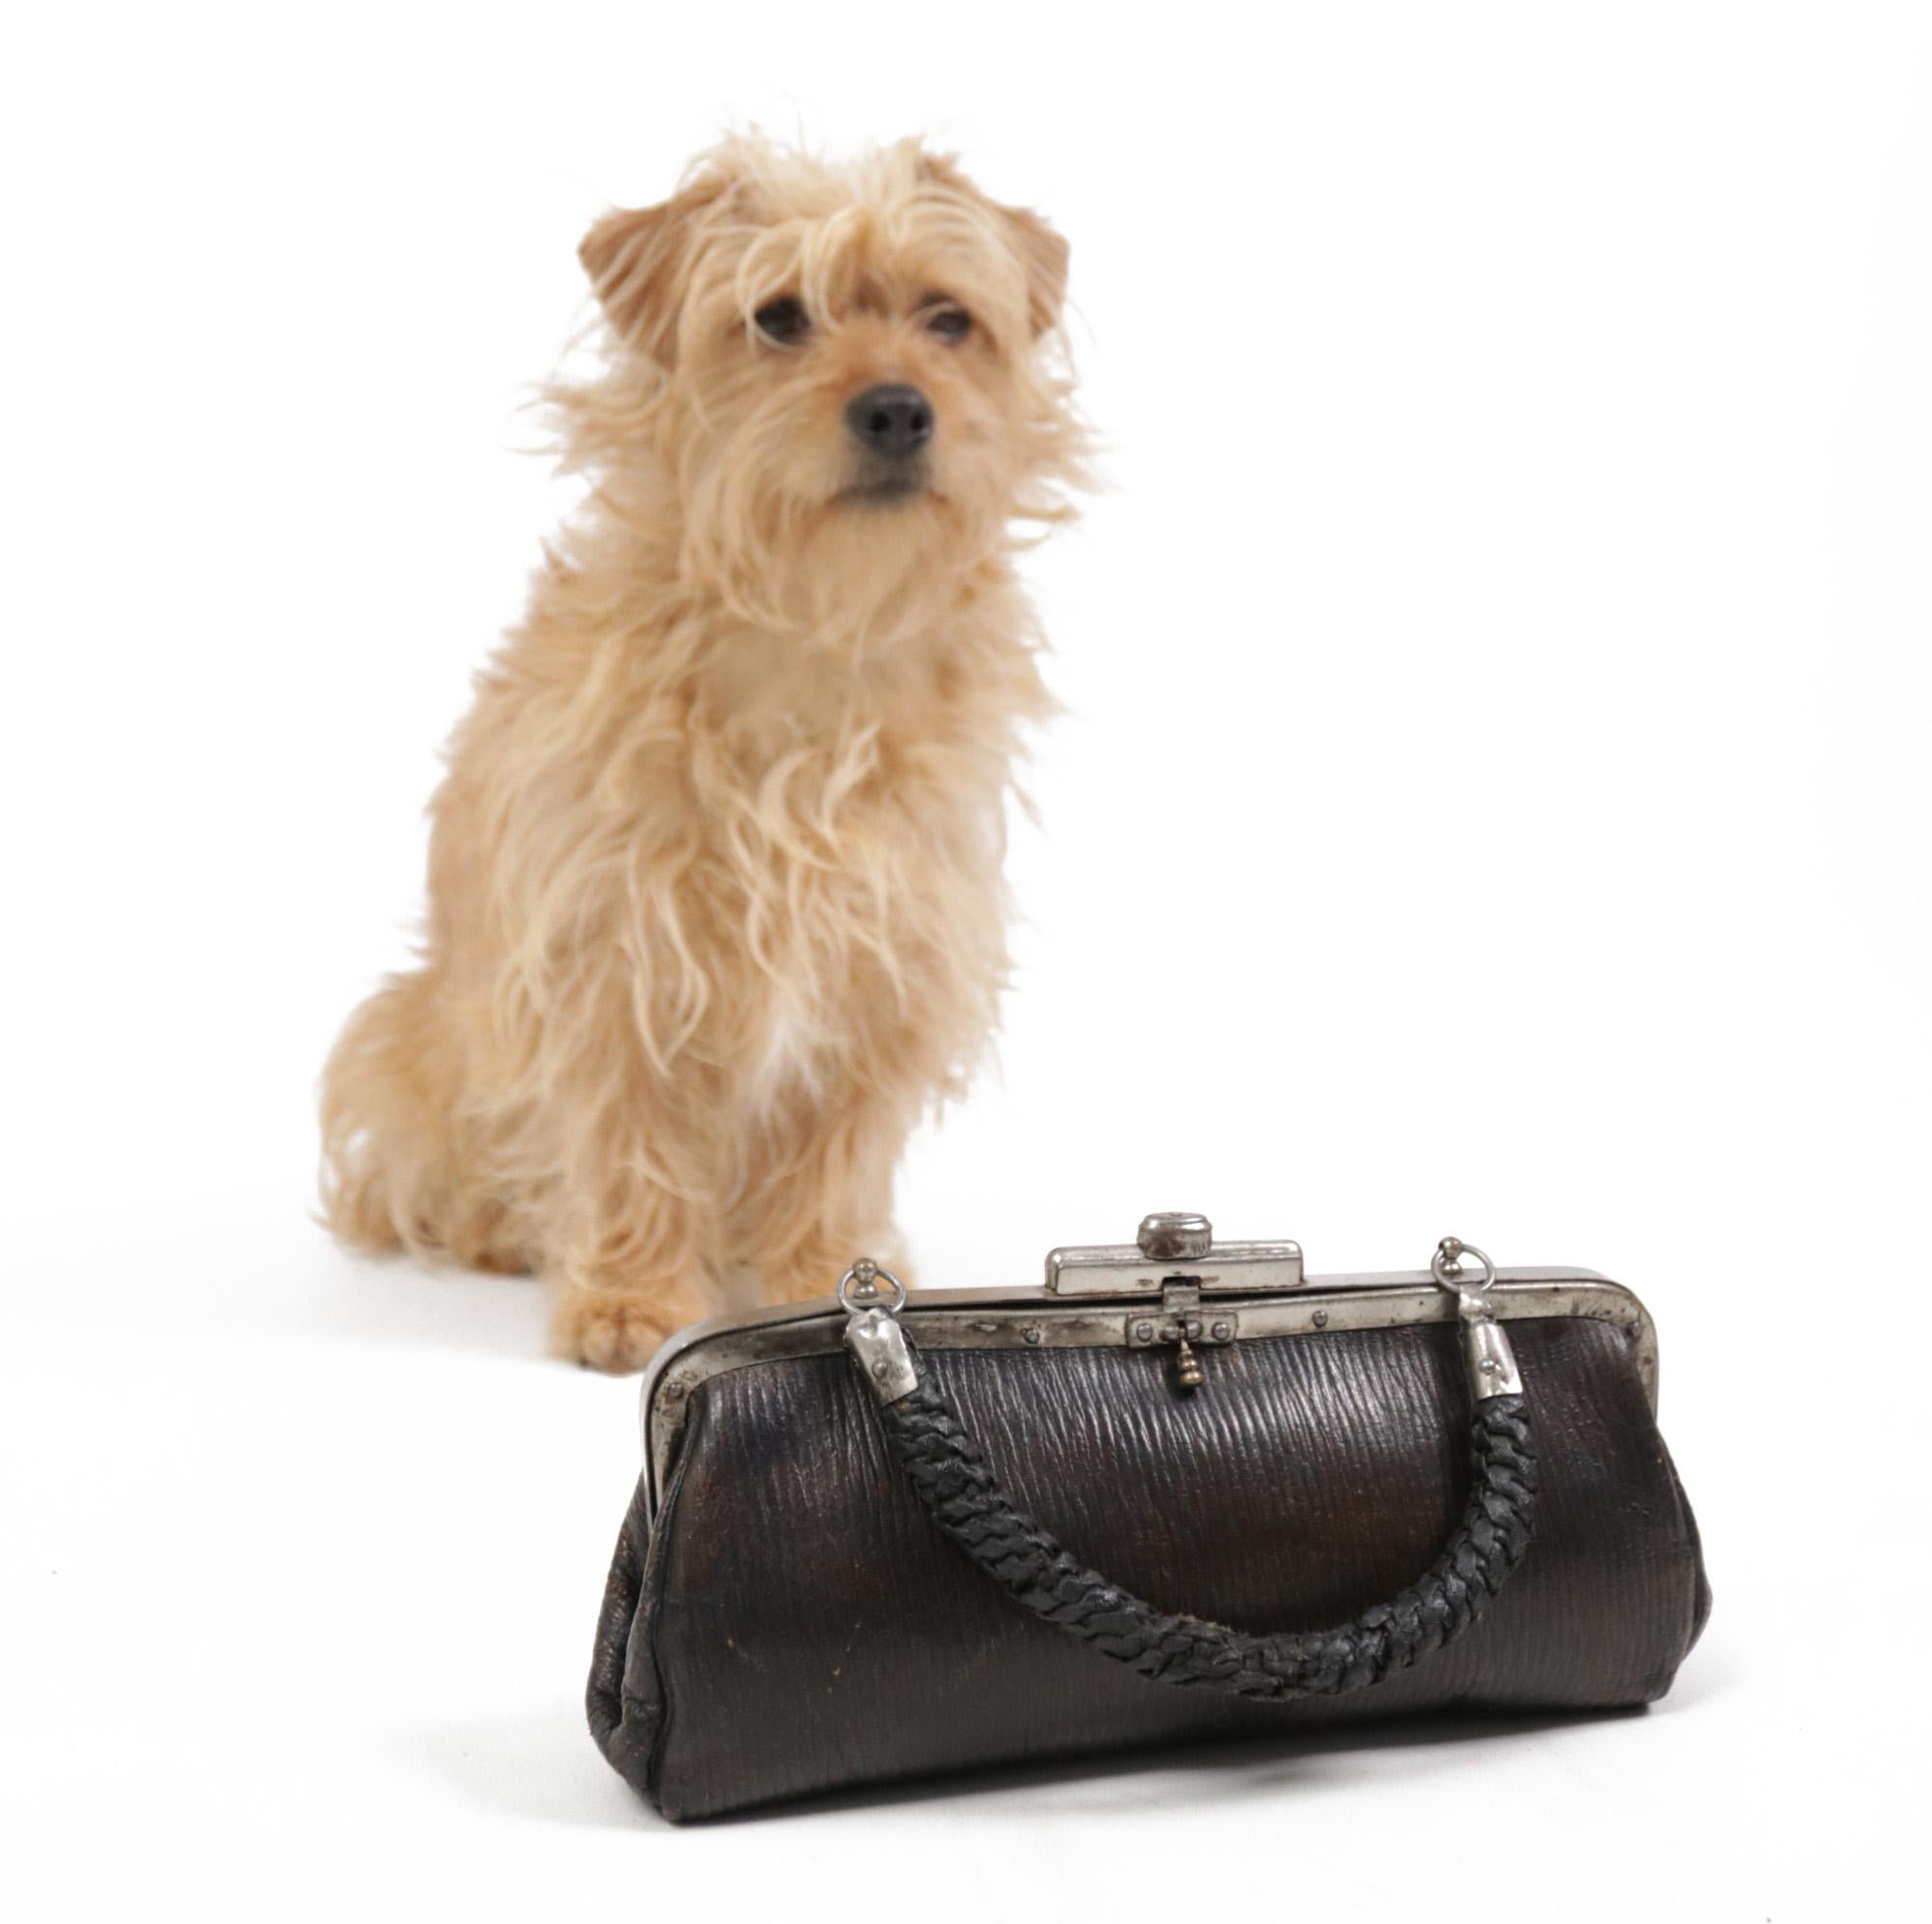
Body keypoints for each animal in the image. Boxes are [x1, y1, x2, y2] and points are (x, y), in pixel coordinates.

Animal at [318, 134, 1089, 1367]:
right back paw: (497, 1228)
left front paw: (824, 1273)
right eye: (777, 317)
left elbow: (833, 1141)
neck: (810, 639)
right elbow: (622, 1130)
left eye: (948, 318)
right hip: (399, 1037)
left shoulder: (886, 953)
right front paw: (629, 1297)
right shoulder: (611, 948)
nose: (896, 409)